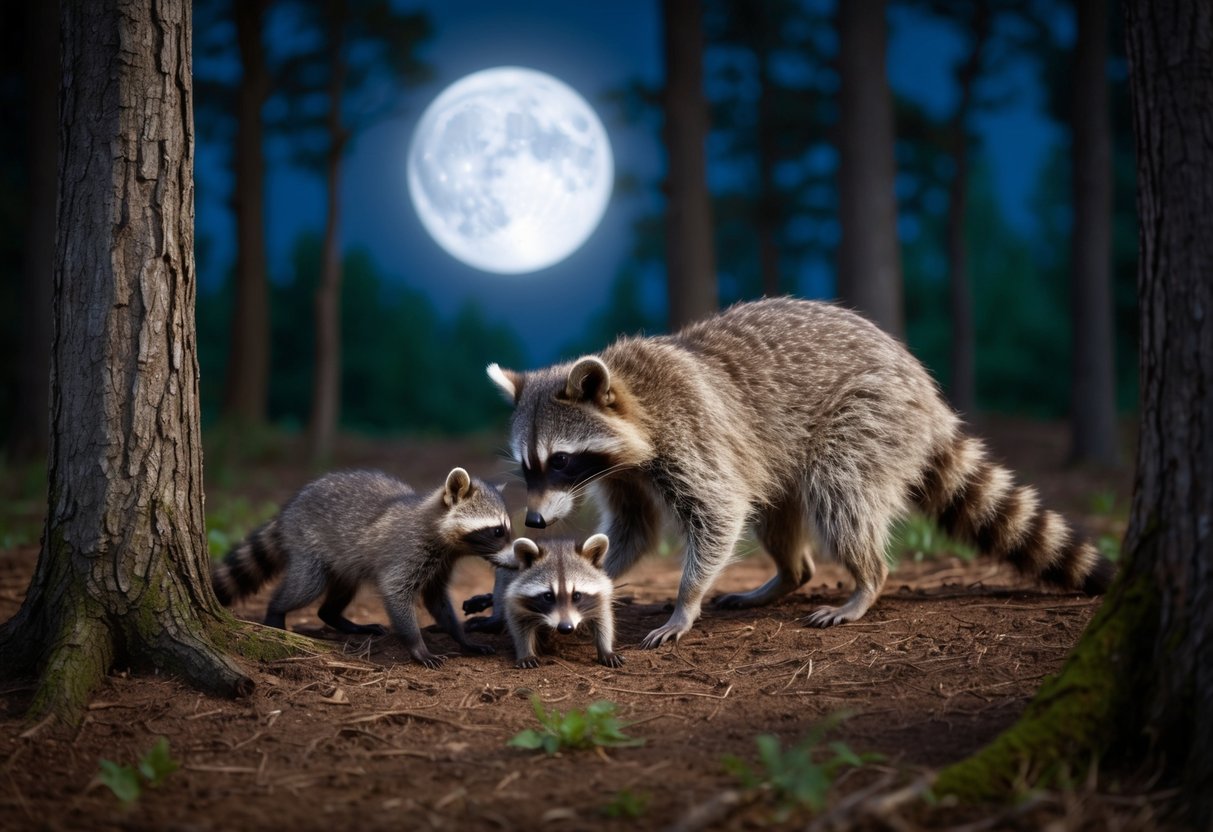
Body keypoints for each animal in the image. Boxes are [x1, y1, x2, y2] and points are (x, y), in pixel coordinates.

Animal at [212, 467, 512, 667]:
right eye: (497, 531)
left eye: (506, 529)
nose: (516, 559)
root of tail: (287, 513)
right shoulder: (407, 551)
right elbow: (395, 593)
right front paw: (417, 645)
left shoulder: (441, 565)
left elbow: (437, 600)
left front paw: (462, 637)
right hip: (307, 543)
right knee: (306, 587)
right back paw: (276, 612)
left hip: (344, 563)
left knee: (337, 595)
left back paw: (337, 617)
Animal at [487, 297, 1115, 648]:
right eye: (527, 466)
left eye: (560, 460)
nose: (535, 521)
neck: (632, 395)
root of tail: (925, 391)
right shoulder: (622, 473)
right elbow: (635, 531)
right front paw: (585, 577)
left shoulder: (692, 430)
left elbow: (719, 511)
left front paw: (685, 601)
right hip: (785, 452)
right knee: (776, 511)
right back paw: (790, 574)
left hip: (868, 416)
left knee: (842, 496)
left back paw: (867, 581)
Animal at [496, 535, 622, 669]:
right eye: (548, 596)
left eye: (576, 595)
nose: (565, 628)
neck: (558, 546)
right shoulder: (515, 598)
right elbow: (519, 625)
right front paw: (525, 651)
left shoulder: (600, 597)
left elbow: (603, 621)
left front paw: (606, 648)